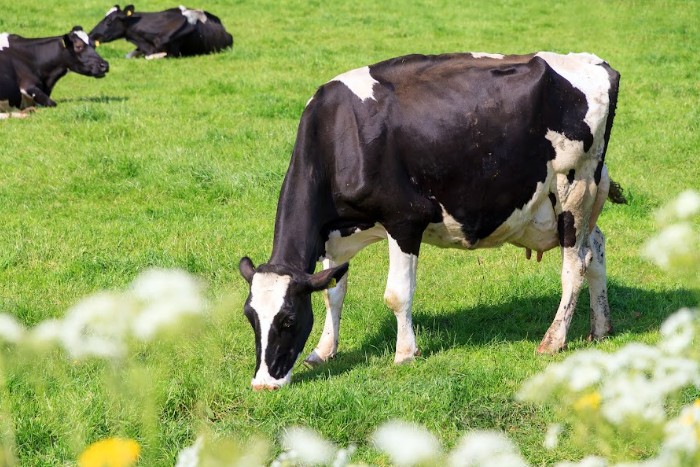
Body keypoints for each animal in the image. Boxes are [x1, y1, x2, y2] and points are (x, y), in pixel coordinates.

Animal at [239, 51, 624, 390]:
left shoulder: (404, 219)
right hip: (581, 198)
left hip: (575, 188)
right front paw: (323, 351)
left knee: (576, 264)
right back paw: (601, 327)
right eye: (250, 316)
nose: (263, 384)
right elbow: (332, 293)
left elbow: (397, 294)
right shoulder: (335, 235)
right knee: (597, 249)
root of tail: (594, 62)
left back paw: (553, 340)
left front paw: (405, 353)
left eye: (288, 319)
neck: (339, 134)